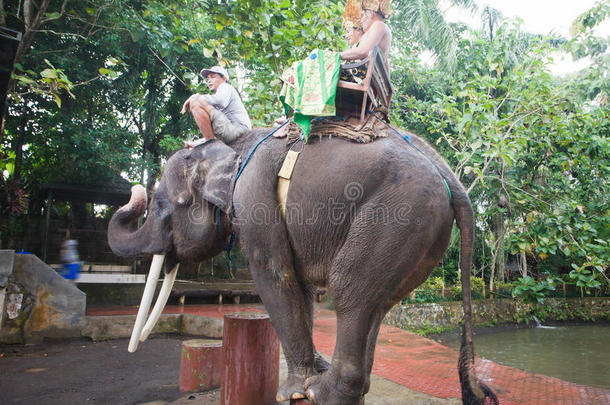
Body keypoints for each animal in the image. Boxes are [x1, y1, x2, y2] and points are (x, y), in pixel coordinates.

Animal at [108, 127, 494, 404]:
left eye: (160, 204)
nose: (135, 191)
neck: (231, 148)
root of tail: (451, 175)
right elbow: (301, 287)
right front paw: (309, 373)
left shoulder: (253, 199)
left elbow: (275, 275)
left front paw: (291, 392)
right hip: (419, 232)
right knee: (377, 303)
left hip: (398, 215)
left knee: (348, 292)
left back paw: (323, 394)